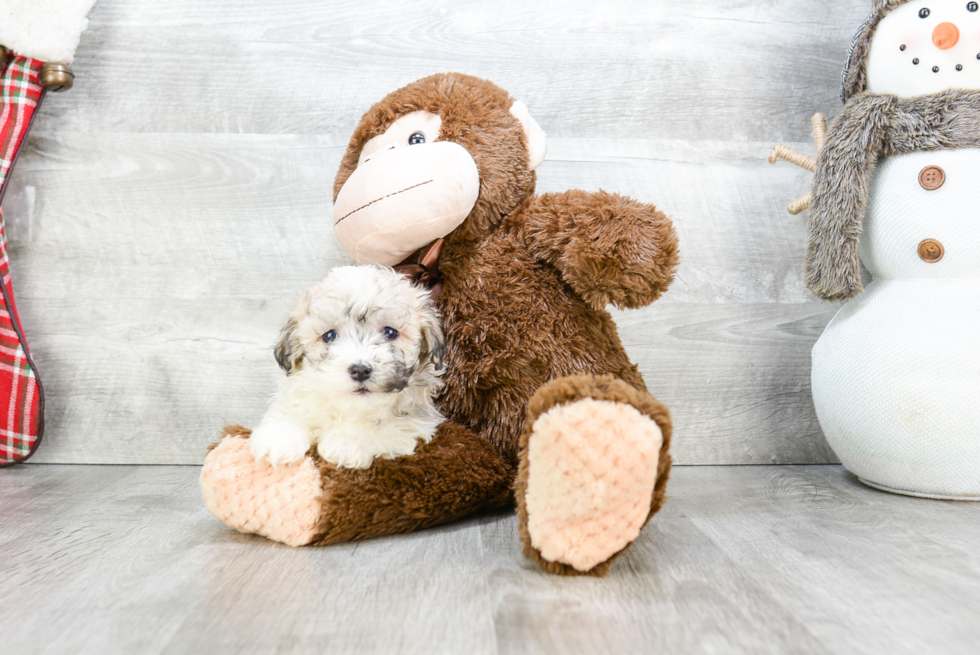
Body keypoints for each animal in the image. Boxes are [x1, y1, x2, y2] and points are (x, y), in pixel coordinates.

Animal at [247, 266, 446, 472]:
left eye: (390, 332)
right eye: (329, 336)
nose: (360, 370)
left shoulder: (413, 423)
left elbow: (380, 429)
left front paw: (347, 443)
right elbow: (292, 411)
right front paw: (279, 439)